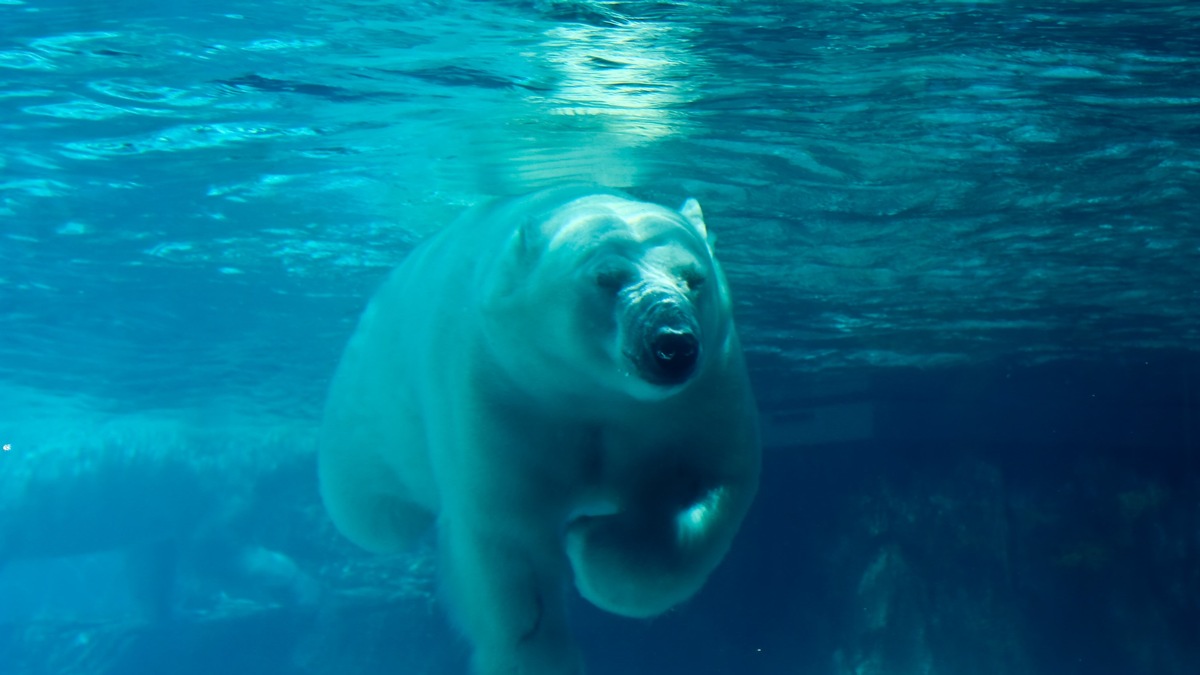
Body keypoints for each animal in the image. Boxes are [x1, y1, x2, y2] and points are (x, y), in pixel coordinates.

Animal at [319, 184, 758, 672]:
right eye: (606, 278)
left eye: (693, 278)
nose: (672, 344)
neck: (590, 391)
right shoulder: (502, 393)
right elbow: (509, 544)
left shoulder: (700, 398)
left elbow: (709, 484)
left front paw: (592, 543)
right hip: (368, 405)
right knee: (371, 513)